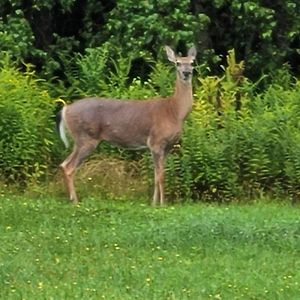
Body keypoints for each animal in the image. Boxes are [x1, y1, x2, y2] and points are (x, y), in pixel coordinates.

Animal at [56, 45, 197, 205]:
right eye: (178, 63)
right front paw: (162, 204)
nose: (186, 73)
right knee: (69, 167)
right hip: (86, 137)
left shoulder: (167, 146)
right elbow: (161, 176)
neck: (175, 112)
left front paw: (154, 203)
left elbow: (157, 174)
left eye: (192, 62)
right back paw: (75, 201)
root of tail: (66, 109)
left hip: (80, 140)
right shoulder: (156, 142)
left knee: (63, 164)